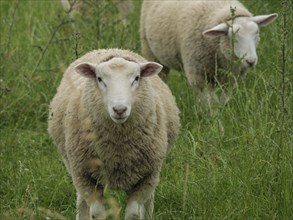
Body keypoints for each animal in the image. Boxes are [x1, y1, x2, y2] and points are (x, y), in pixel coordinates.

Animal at [47, 48, 179, 220]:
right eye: (99, 79)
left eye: (136, 78)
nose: (119, 109)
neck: (118, 148)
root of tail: (111, 49)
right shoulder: (85, 175)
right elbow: (97, 213)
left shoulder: (146, 177)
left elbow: (134, 214)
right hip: (74, 168)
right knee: (82, 203)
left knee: (149, 202)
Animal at [140, 0, 278, 109]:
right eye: (233, 36)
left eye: (256, 33)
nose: (251, 61)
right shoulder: (200, 75)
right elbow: (212, 103)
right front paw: (215, 122)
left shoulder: (232, 78)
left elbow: (224, 100)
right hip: (151, 51)